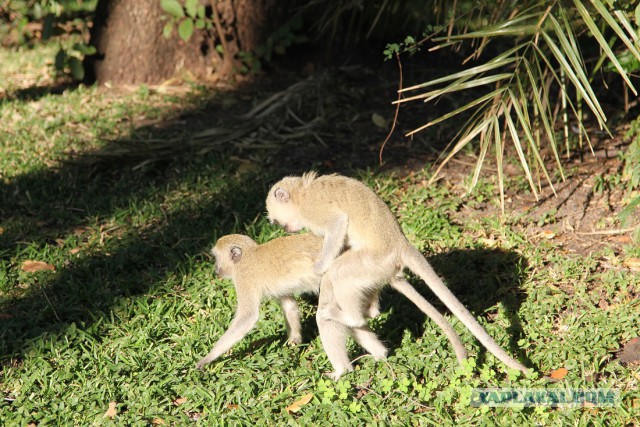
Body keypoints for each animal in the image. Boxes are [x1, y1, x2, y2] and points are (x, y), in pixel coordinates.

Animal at [192, 234, 468, 378]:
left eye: (216, 258)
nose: (216, 270)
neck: (248, 255)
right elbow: (289, 307)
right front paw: (294, 342)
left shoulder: (244, 279)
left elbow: (247, 318)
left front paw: (207, 359)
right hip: (358, 283)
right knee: (354, 319)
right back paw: (379, 353)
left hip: (343, 279)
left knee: (329, 316)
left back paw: (342, 370)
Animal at [266, 172, 528, 380]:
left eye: (277, 220)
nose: (285, 228)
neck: (302, 193)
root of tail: (401, 243)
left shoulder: (313, 210)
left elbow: (337, 224)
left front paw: (319, 267)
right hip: (377, 267)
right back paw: (370, 311)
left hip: (373, 259)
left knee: (340, 273)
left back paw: (352, 316)